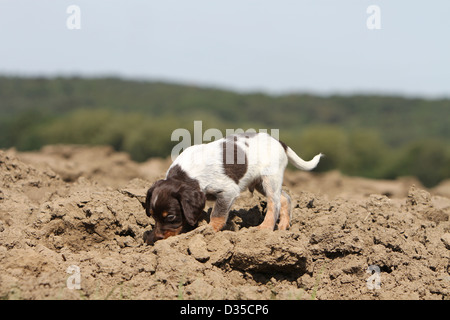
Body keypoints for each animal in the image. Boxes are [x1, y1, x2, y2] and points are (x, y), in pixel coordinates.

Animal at [142, 132, 322, 245]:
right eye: (152, 215)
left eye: (171, 216)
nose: (157, 238)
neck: (186, 175)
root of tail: (279, 142)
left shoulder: (227, 191)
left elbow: (217, 215)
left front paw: (207, 231)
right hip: (260, 182)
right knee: (285, 197)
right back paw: (284, 226)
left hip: (270, 178)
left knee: (274, 203)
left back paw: (264, 229)